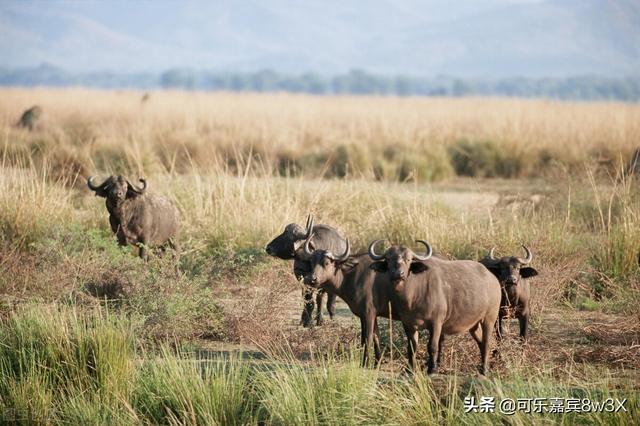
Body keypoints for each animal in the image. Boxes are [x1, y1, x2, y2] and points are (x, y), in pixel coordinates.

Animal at [370, 241, 500, 374]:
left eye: (409, 259)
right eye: (388, 259)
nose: (398, 274)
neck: (413, 295)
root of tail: (493, 279)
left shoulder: (436, 322)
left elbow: (432, 346)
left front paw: (432, 369)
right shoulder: (407, 323)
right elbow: (411, 346)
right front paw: (409, 369)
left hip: (490, 318)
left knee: (487, 342)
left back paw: (484, 369)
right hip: (474, 324)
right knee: (480, 342)